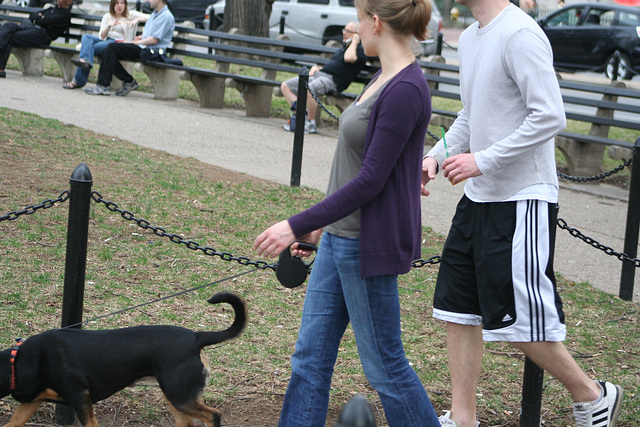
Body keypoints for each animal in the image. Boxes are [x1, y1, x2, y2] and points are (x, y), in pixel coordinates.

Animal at [0, 292, 246, 426]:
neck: (17, 362)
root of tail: (196, 337)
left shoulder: (80, 398)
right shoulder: (32, 401)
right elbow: (13, 422)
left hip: (180, 396)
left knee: (213, 416)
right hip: (175, 397)